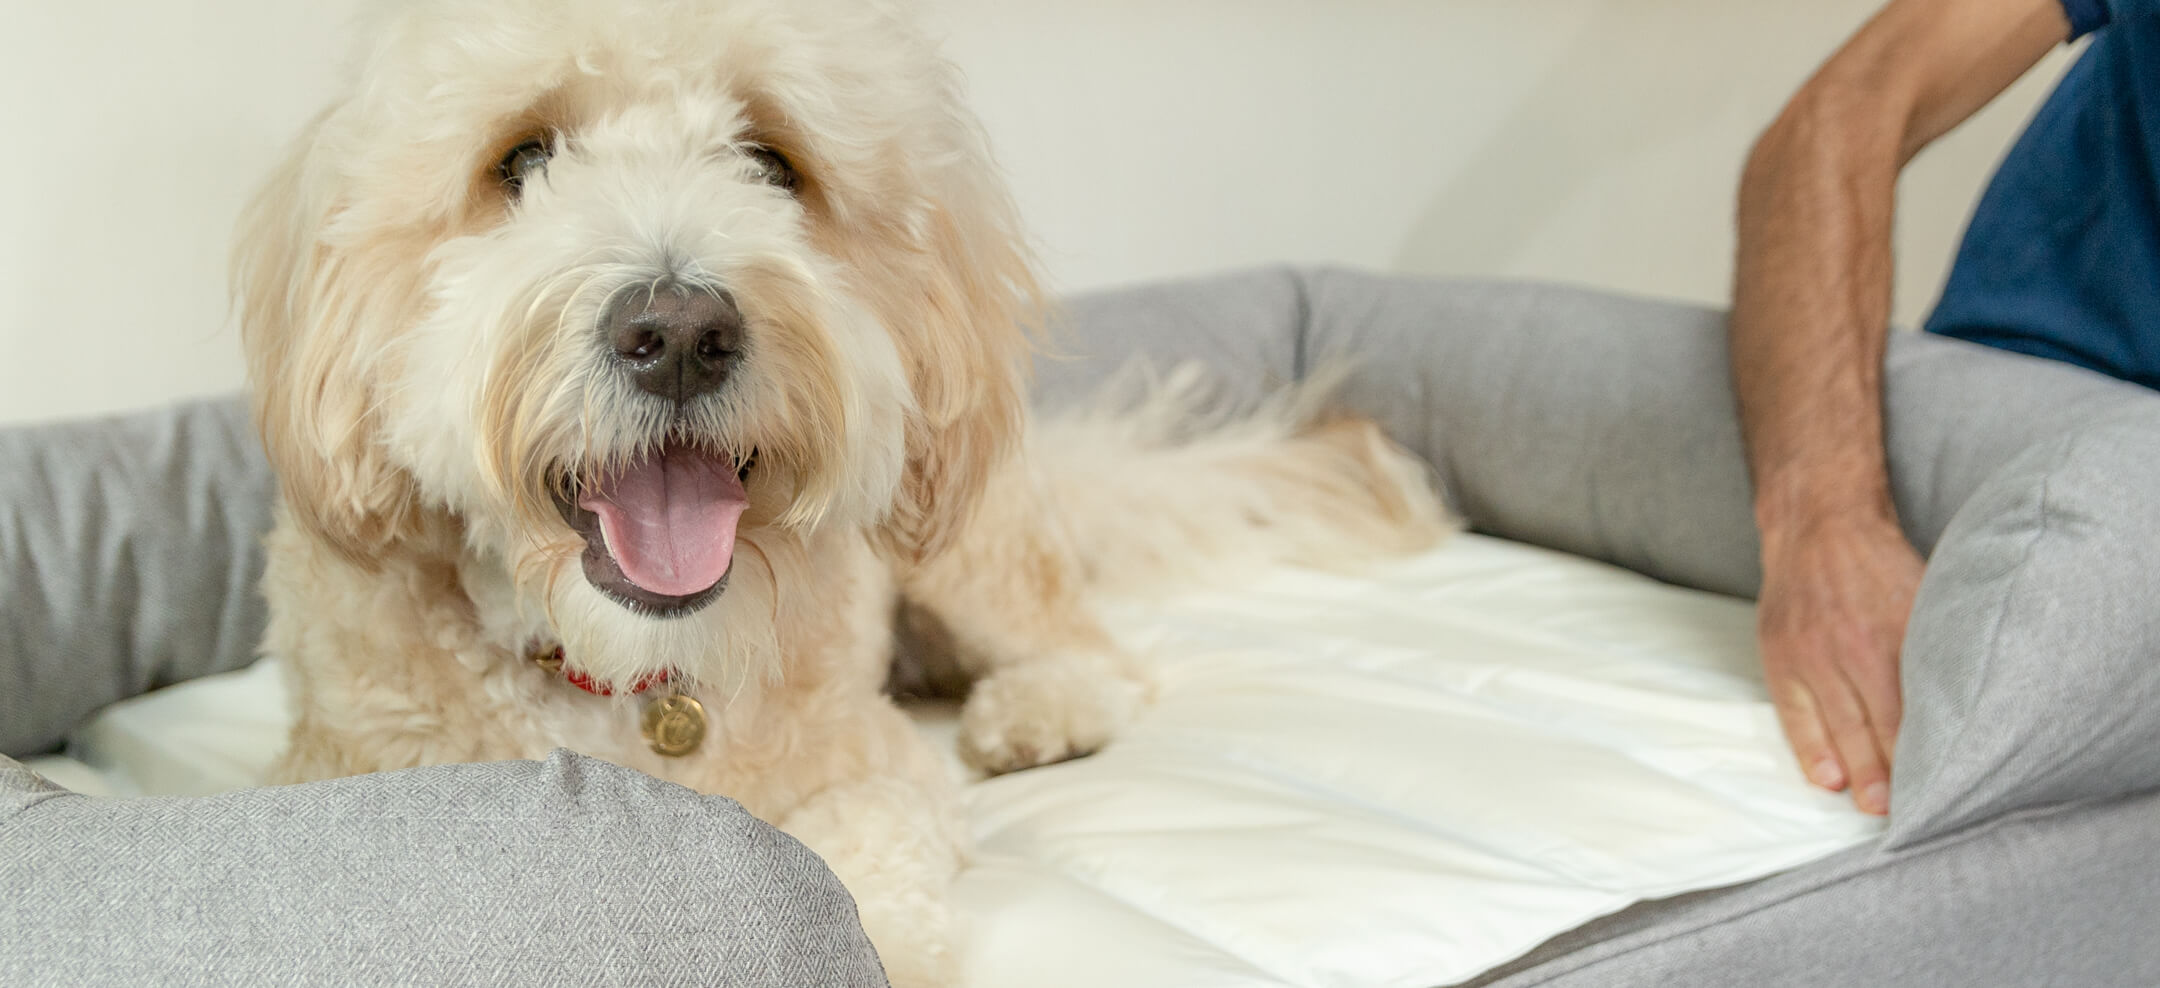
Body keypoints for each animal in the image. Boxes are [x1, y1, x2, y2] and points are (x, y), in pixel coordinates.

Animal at [236, 0, 1451, 977]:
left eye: (774, 163)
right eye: (520, 160)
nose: (681, 333)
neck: (630, 680)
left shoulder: (885, 772)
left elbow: (854, 872)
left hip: (966, 552)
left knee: (1104, 656)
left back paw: (1041, 712)